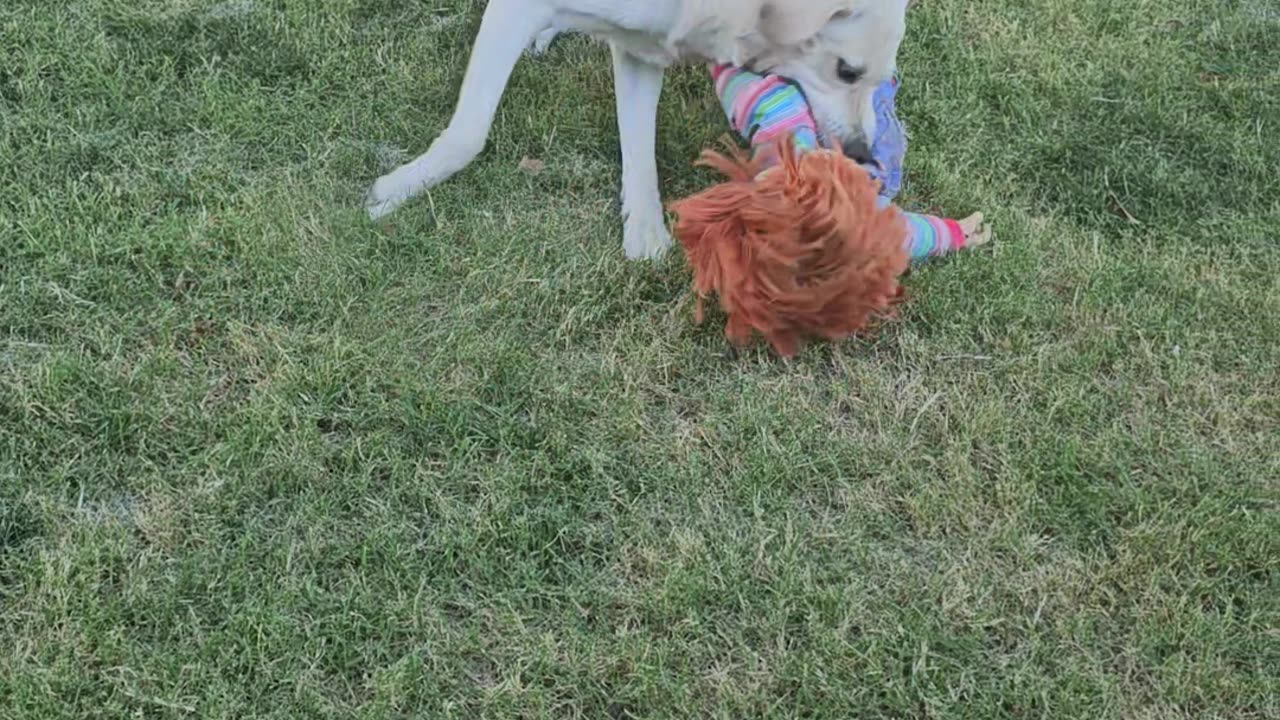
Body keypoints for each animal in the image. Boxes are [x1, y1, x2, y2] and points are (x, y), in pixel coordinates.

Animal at [371, 0, 911, 257]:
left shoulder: (641, 48)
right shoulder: (515, 9)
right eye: (846, 71)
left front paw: (645, 229)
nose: (863, 154)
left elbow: (638, 149)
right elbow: (470, 130)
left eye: (884, 79)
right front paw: (399, 187)